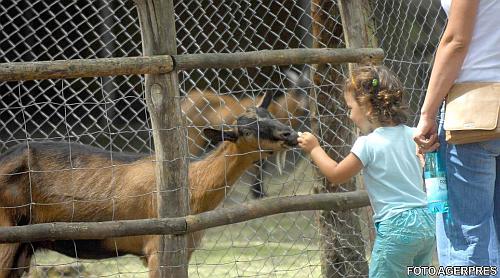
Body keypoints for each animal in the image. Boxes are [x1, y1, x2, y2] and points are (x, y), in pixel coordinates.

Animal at [0, 90, 296, 276]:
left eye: (269, 115)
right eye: (245, 130)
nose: (289, 134)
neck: (193, 187)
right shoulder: (157, 249)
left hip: (23, 247)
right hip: (6, 236)